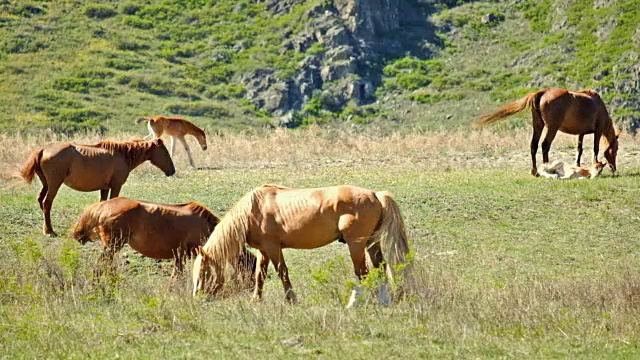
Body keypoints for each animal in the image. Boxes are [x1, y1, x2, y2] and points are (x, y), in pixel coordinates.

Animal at [20, 138, 175, 236]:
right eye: (165, 152)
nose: (172, 171)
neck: (123, 155)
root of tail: (43, 149)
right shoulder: (116, 186)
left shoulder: (105, 188)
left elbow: (103, 204)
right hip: (54, 185)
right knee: (47, 203)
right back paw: (50, 231)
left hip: (46, 184)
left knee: (41, 201)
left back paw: (46, 228)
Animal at [72, 197, 258, 278]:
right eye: (252, 270)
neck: (205, 226)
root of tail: (101, 207)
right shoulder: (182, 255)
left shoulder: (179, 256)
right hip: (112, 246)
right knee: (100, 267)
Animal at [191, 184, 410, 308]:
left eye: (203, 273)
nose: (197, 298)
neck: (253, 210)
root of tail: (375, 194)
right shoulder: (263, 250)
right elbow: (260, 275)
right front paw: (255, 300)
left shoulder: (273, 248)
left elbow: (282, 272)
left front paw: (291, 299)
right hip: (372, 243)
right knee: (380, 268)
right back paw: (383, 300)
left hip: (356, 245)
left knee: (362, 273)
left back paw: (355, 303)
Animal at [472, 88, 616, 176]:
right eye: (615, 149)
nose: (614, 169)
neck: (597, 104)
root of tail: (542, 92)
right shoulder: (598, 130)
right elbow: (595, 149)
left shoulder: (581, 133)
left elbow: (579, 150)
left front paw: (578, 165)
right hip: (552, 128)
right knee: (545, 145)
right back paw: (548, 168)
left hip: (538, 125)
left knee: (534, 145)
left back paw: (534, 171)